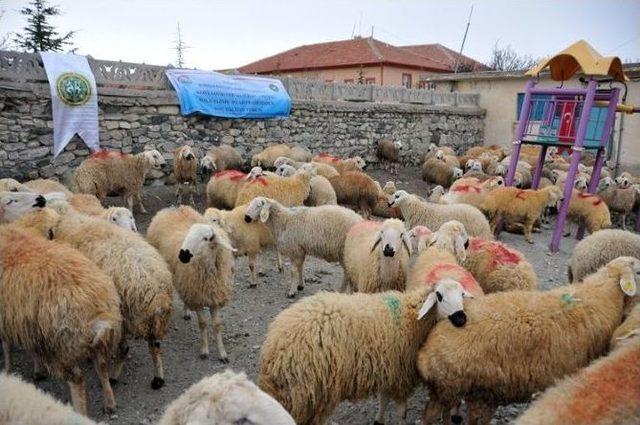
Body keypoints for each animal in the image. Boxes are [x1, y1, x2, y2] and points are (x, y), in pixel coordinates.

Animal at [0, 224, 121, 412]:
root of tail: (96, 310)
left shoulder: (8, 318)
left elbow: (6, 345)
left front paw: (7, 370)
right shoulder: (26, 322)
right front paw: (37, 370)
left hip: (62, 344)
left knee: (77, 379)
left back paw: (80, 410)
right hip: (92, 340)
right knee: (101, 366)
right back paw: (110, 402)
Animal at [146, 207, 235, 360]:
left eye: (206, 238)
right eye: (188, 235)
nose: (182, 255)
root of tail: (171, 209)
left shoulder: (215, 297)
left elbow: (217, 325)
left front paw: (222, 353)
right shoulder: (197, 297)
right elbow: (203, 324)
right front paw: (204, 350)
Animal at [258, 278, 472, 424]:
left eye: (462, 295)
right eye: (439, 296)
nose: (461, 319)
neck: (412, 317)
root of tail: (275, 347)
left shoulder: (390, 369)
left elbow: (384, 399)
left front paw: (378, 420)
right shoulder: (401, 373)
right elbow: (401, 409)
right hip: (310, 393)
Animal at [416, 255, 640, 424]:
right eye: (637, 271)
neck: (605, 292)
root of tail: (427, 351)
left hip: (459, 391)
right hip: (467, 391)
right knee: (434, 416)